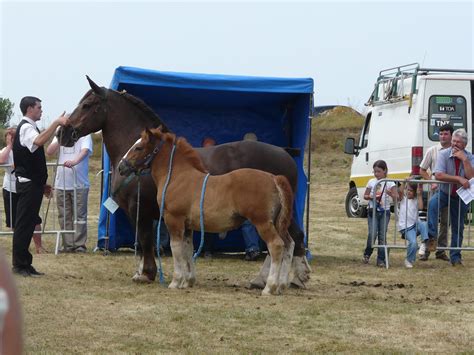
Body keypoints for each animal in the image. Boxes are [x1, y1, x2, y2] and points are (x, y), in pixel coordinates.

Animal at [119, 129, 296, 296]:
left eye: (139, 147)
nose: (121, 166)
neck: (177, 177)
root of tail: (274, 178)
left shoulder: (174, 220)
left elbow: (176, 248)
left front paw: (176, 282)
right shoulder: (188, 226)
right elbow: (188, 249)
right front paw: (188, 281)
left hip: (262, 222)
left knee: (276, 245)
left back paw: (270, 287)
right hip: (278, 223)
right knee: (289, 244)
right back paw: (281, 285)